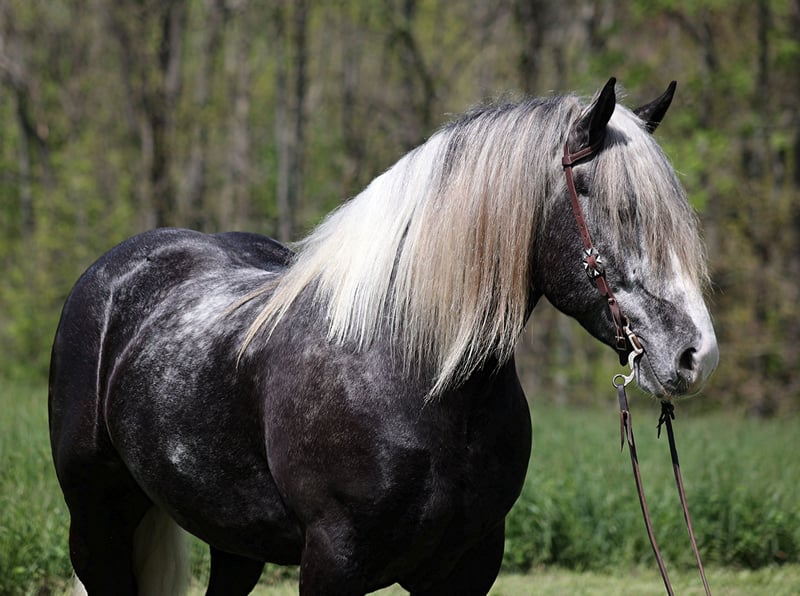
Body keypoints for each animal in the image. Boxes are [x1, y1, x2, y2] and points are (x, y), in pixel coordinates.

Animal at [49, 78, 718, 595]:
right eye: (620, 209)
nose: (697, 356)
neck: (407, 373)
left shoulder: (466, 568)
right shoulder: (331, 564)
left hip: (232, 539)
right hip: (97, 523)